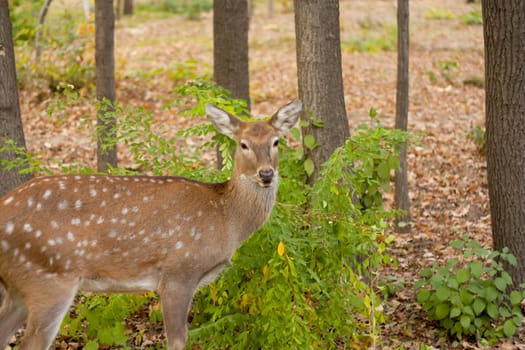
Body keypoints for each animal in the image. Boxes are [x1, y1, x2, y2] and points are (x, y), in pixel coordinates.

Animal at [0, 99, 300, 350]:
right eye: (243, 144)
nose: (266, 174)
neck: (226, 219)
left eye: (276, 142)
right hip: (49, 278)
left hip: (20, 287)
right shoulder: (178, 272)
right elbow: (177, 341)